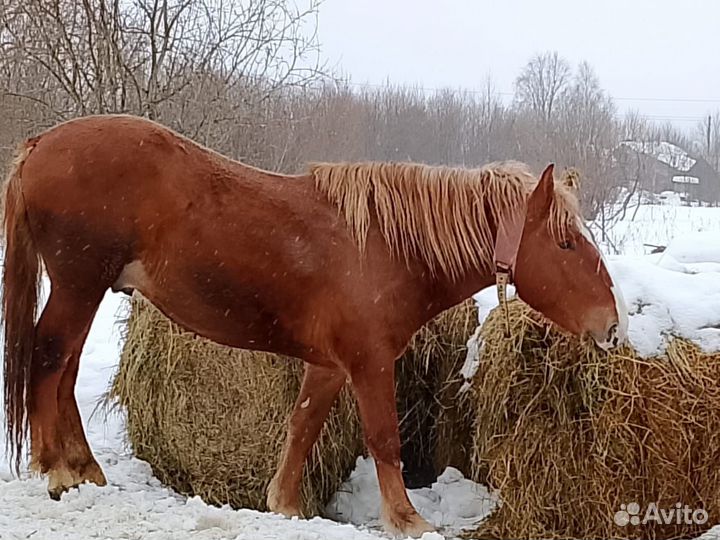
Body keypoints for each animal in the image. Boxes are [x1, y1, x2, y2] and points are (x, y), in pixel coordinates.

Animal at [2, 114, 626, 537]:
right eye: (566, 244)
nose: (610, 325)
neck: (386, 247)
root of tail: (40, 145)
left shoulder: (328, 366)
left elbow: (301, 428)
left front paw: (285, 504)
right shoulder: (369, 362)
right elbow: (383, 440)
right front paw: (407, 520)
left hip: (84, 291)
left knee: (65, 369)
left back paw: (84, 468)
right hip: (78, 287)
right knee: (49, 358)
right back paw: (56, 472)